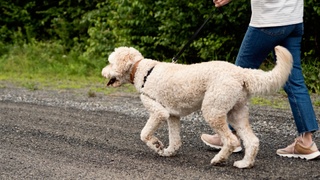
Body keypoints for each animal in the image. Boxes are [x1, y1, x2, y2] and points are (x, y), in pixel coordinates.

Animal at [102, 45, 292, 168]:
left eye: (111, 63)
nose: (103, 72)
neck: (141, 70)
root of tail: (241, 72)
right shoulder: (172, 116)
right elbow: (175, 140)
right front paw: (169, 152)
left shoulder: (159, 112)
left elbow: (144, 134)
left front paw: (156, 144)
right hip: (236, 113)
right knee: (252, 141)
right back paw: (245, 164)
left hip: (213, 111)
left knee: (231, 140)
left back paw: (218, 160)